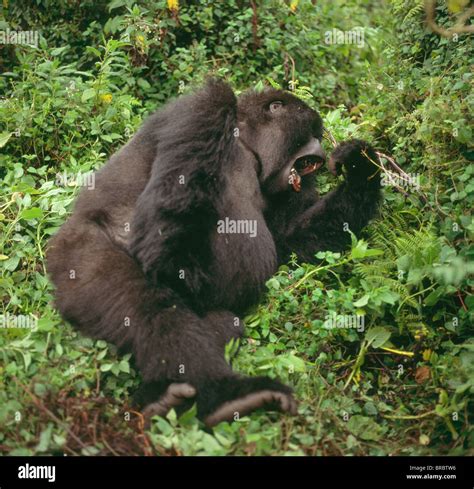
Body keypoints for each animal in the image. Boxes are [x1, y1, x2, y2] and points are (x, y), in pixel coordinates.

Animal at [47, 78, 382, 426]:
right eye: (311, 131)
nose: (319, 146)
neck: (245, 142)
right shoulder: (205, 108)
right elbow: (172, 217)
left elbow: (290, 240)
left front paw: (361, 168)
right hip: (77, 257)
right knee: (146, 306)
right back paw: (224, 394)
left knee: (222, 323)